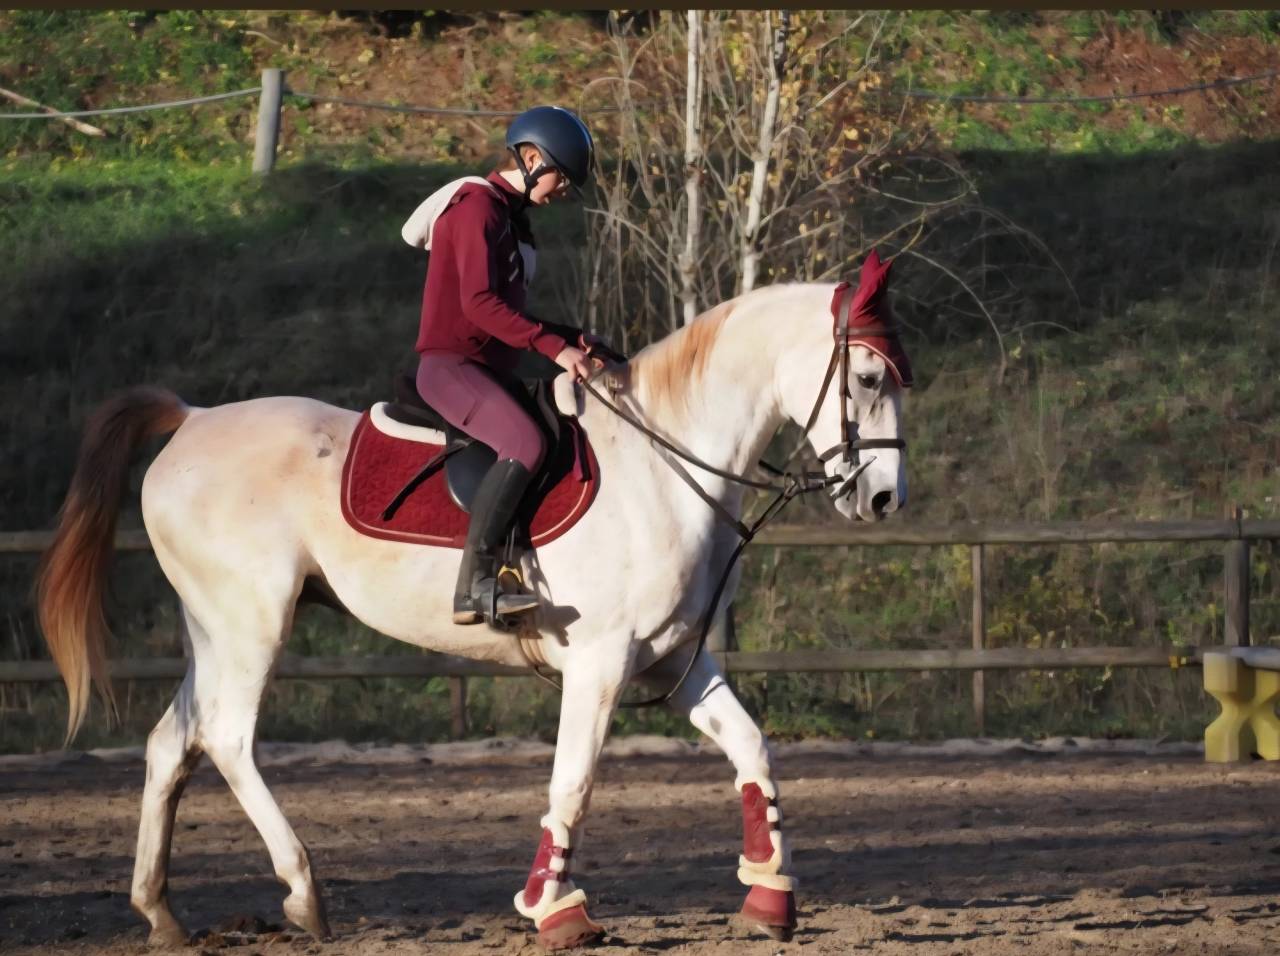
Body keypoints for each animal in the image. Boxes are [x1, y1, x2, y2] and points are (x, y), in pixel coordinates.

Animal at [35, 263, 909, 949]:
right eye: (868, 380)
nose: (884, 499)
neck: (666, 462)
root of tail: (192, 420)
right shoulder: (600, 665)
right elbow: (573, 784)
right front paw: (555, 910)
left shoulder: (674, 661)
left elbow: (753, 751)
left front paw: (769, 896)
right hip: (252, 625)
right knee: (225, 737)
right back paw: (304, 894)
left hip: (212, 631)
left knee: (170, 744)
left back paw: (162, 912)